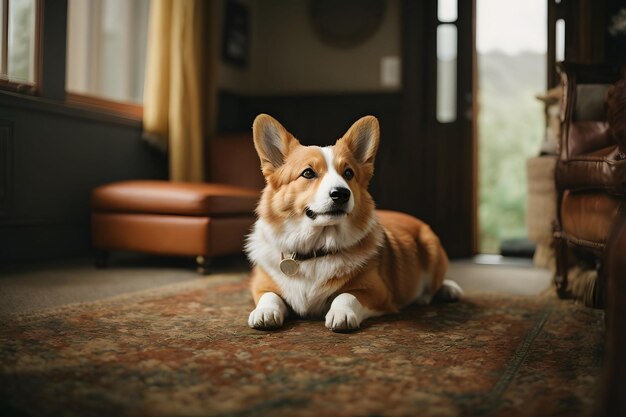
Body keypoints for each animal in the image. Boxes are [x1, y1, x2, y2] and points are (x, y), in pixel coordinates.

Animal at [246, 114, 460, 332]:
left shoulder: (378, 293)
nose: (341, 193)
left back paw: (448, 289)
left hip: (432, 246)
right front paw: (264, 313)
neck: (316, 248)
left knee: (437, 282)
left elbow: (346, 295)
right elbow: (269, 296)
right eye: (308, 173)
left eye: (348, 173)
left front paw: (341, 314)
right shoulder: (261, 285)